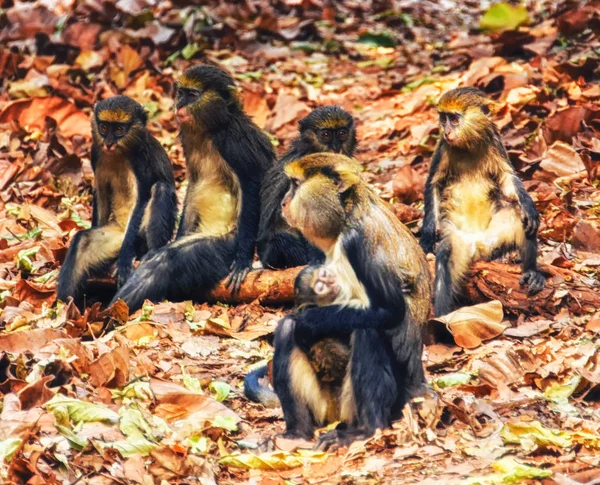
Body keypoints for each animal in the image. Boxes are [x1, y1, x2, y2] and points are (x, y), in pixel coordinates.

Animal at [55, 95, 178, 306]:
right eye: (104, 127)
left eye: (119, 130)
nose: (109, 143)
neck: (120, 152)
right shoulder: (96, 154)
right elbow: (102, 194)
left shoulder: (141, 160)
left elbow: (141, 200)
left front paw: (125, 261)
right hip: (114, 238)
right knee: (82, 241)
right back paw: (64, 307)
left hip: (138, 237)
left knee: (161, 188)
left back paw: (149, 254)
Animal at [109, 64, 274, 312]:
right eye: (181, 93)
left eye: (193, 95)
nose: (180, 105)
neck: (212, 127)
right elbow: (194, 184)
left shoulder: (233, 142)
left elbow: (252, 184)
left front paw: (243, 261)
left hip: (223, 243)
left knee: (168, 260)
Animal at [268, 152, 432, 450]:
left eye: (295, 185)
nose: (284, 202)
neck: (346, 219)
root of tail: (418, 384)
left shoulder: (360, 244)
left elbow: (389, 311)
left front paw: (308, 321)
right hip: (326, 405)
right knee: (286, 330)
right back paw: (296, 433)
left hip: (383, 401)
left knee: (367, 330)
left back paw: (367, 430)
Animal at [420, 86, 548, 316]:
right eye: (444, 119)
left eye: (454, 119)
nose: (447, 132)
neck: (468, 146)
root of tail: (476, 245)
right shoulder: (443, 147)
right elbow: (433, 183)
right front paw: (426, 236)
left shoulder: (494, 141)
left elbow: (508, 178)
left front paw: (528, 205)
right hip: (459, 240)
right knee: (446, 253)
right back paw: (443, 318)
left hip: (493, 240)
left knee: (520, 217)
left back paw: (531, 272)